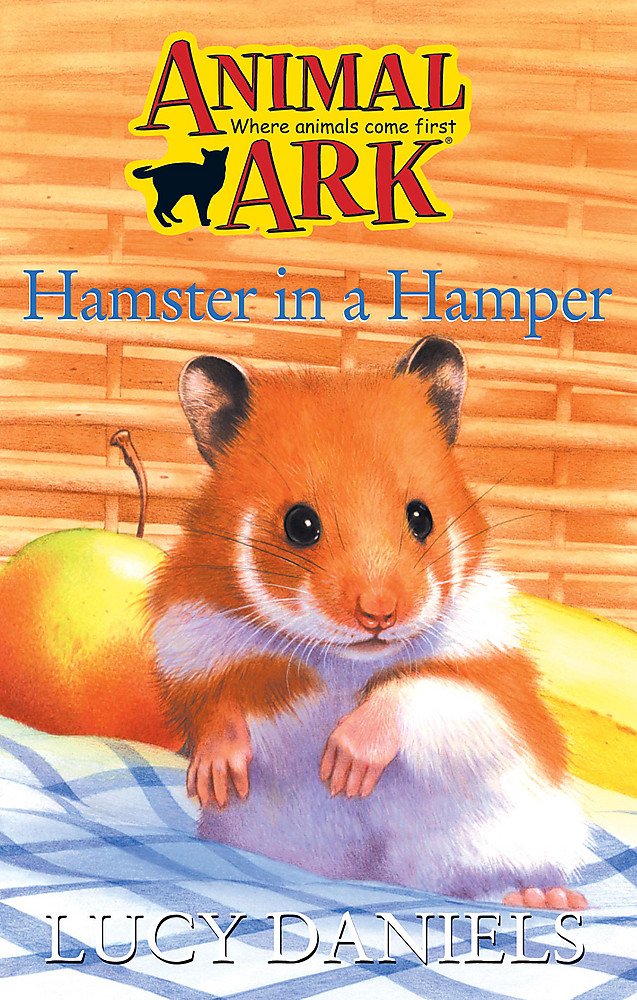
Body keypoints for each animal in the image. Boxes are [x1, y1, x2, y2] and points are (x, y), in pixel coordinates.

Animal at [149, 336, 588, 908]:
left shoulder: (492, 687)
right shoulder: (190, 644)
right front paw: (217, 778)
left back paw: (543, 897)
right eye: (299, 524)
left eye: (421, 516)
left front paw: (344, 769)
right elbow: (216, 707)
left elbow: (416, 695)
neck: (346, 661)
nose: (378, 614)